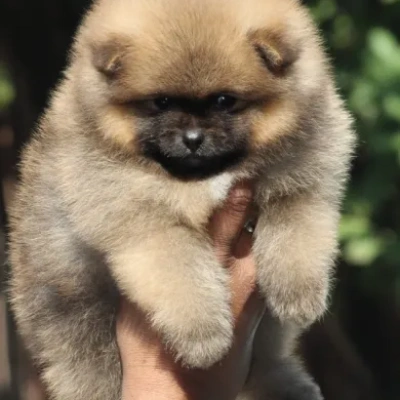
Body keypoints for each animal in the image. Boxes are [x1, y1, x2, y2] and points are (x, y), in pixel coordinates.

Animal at [7, 0, 354, 400]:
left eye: (224, 101)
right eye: (161, 102)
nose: (192, 139)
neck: (200, 176)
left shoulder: (307, 172)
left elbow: (298, 225)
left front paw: (300, 293)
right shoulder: (141, 219)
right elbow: (181, 270)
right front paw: (204, 335)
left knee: (264, 362)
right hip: (72, 314)